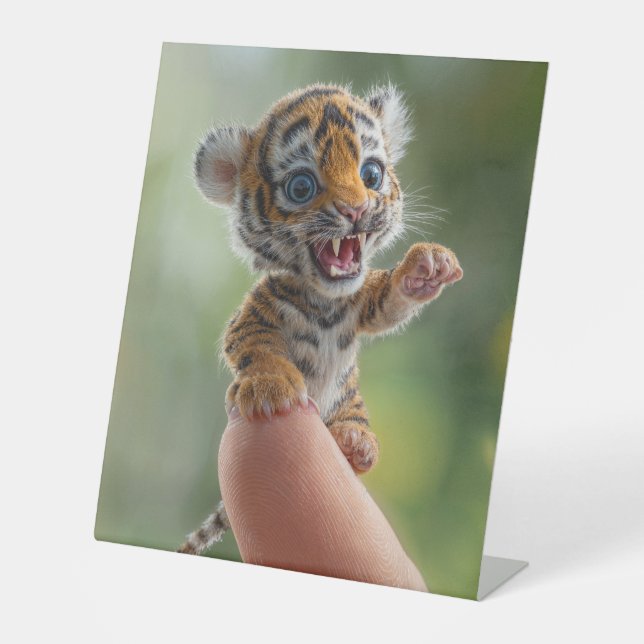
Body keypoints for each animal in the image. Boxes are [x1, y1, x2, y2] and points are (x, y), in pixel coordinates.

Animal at [177, 83, 463, 555]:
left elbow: (390, 300)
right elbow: (256, 346)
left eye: (371, 175)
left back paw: (355, 442)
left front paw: (427, 267)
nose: (355, 210)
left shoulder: (364, 303)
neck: (327, 303)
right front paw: (270, 388)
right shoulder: (251, 316)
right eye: (301, 186)